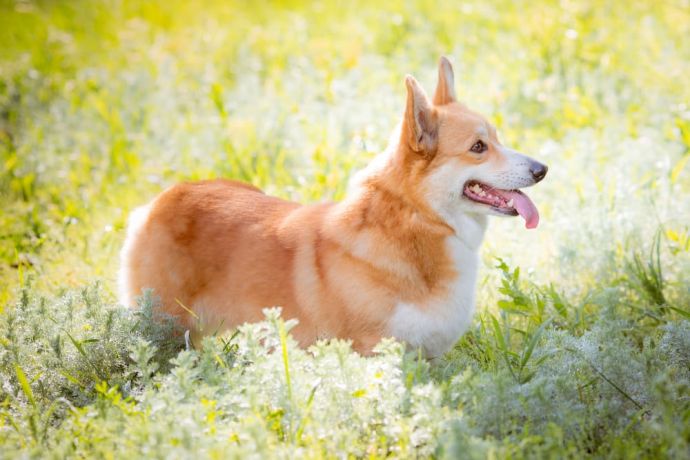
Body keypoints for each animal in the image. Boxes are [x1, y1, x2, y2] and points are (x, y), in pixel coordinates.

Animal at [119, 57, 548, 358]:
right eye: (478, 147)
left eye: (497, 139)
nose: (542, 169)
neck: (416, 220)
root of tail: (160, 200)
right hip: (164, 331)